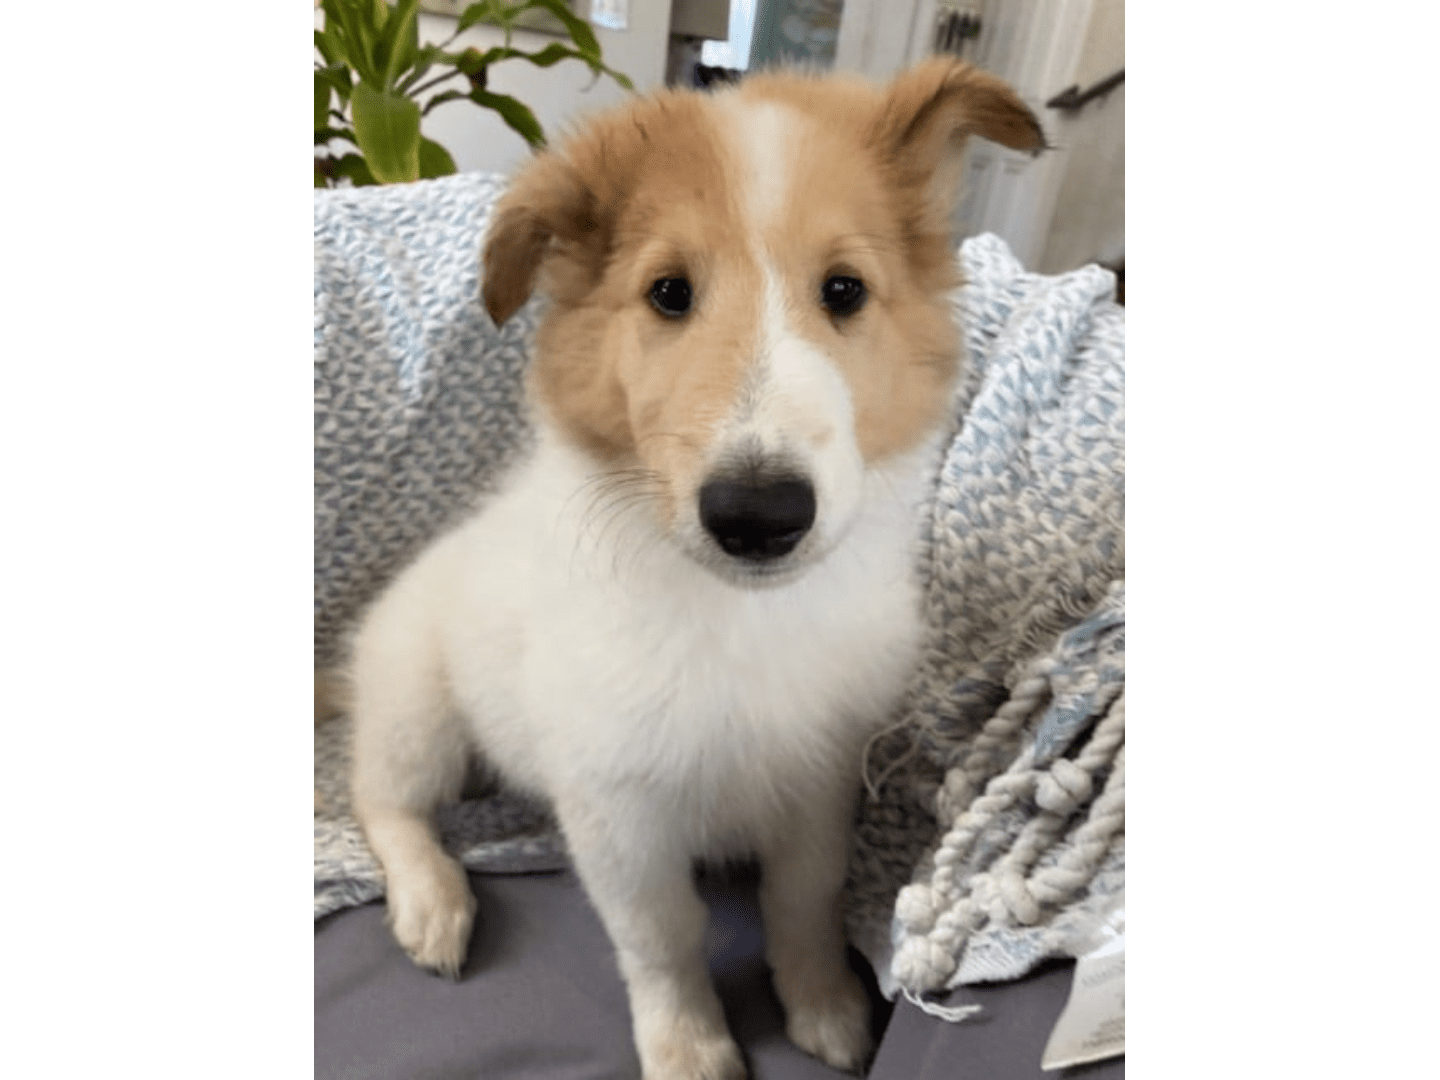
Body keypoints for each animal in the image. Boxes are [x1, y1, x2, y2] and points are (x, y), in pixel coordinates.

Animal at [349, 61, 1048, 1080]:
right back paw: (433, 903)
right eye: (669, 293)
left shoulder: (819, 780)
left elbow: (801, 901)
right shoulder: (617, 810)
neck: (737, 615)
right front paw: (689, 1045)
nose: (759, 515)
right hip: (418, 709)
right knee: (381, 799)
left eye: (844, 290)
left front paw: (825, 1008)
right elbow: (663, 935)